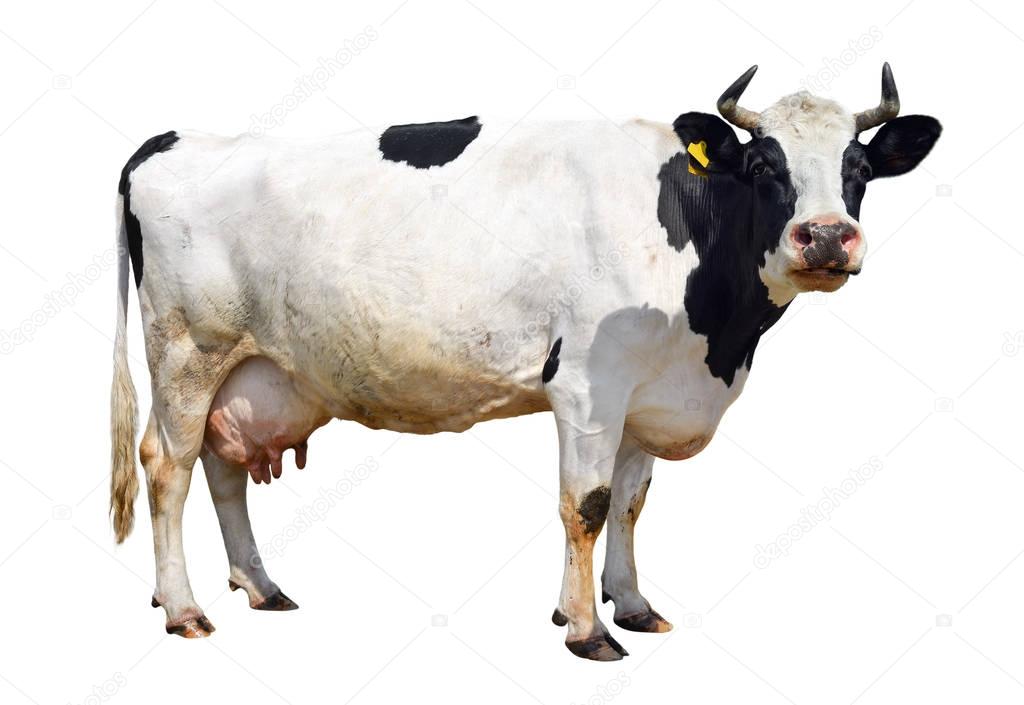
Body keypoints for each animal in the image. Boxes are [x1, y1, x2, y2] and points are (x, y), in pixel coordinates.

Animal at [109, 64, 940, 660]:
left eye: (858, 167)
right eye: (766, 165)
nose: (826, 236)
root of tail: (172, 139)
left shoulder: (647, 391)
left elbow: (630, 504)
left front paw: (630, 605)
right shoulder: (590, 384)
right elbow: (588, 505)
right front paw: (586, 628)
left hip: (248, 369)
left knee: (220, 466)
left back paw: (259, 585)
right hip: (187, 351)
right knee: (167, 466)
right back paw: (183, 607)